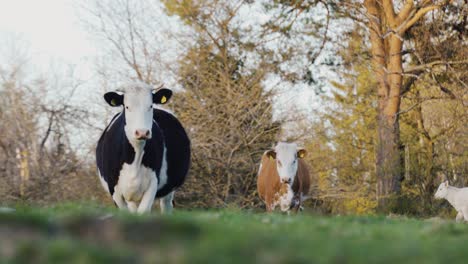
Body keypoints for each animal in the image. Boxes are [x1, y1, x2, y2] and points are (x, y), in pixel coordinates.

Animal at [96, 82, 191, 214]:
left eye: (150, 106)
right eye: (127, 107)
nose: (142, 132)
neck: (134, 159)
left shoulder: (153, 184)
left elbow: (143, 212)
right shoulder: (114, 189)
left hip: (169, 190)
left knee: (166, 206)